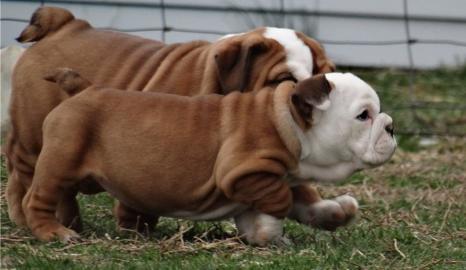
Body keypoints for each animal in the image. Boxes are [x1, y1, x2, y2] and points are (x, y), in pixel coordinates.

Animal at [3, 5, 334, 232]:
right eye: (284, 80)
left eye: (326, 74)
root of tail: (66, 24)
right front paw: (136, 226)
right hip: (35, 137)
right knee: (24, 174)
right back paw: (38, 219)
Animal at [20, 69, 394, 245]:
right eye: (363, 116)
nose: (391, 126)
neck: (287, 120)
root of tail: (85, 88)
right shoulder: (245, 174)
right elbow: (280, 201)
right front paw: (271, 234)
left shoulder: (283, 174)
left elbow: (302, 198)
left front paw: (335, 213)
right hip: (60, 161)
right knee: (36, 198)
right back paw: (55, 232)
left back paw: (66, 224)